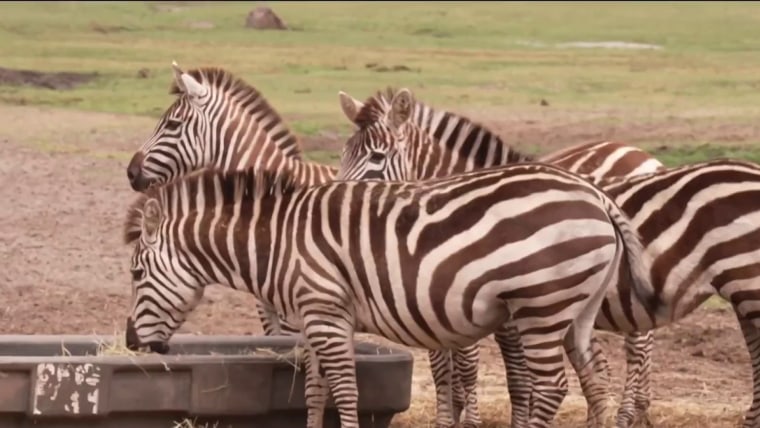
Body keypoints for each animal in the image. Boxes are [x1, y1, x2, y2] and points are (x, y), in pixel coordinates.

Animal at [121, 160, 664, 428]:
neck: (278, 241)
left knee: (553, 385)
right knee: (594, 378)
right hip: (577, 309)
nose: (129, 343)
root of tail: (597, 196)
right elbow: (315, 390)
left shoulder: (325, 310)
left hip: (541, 305)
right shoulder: (316, 315)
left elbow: (344, 390)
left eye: (136, 272)